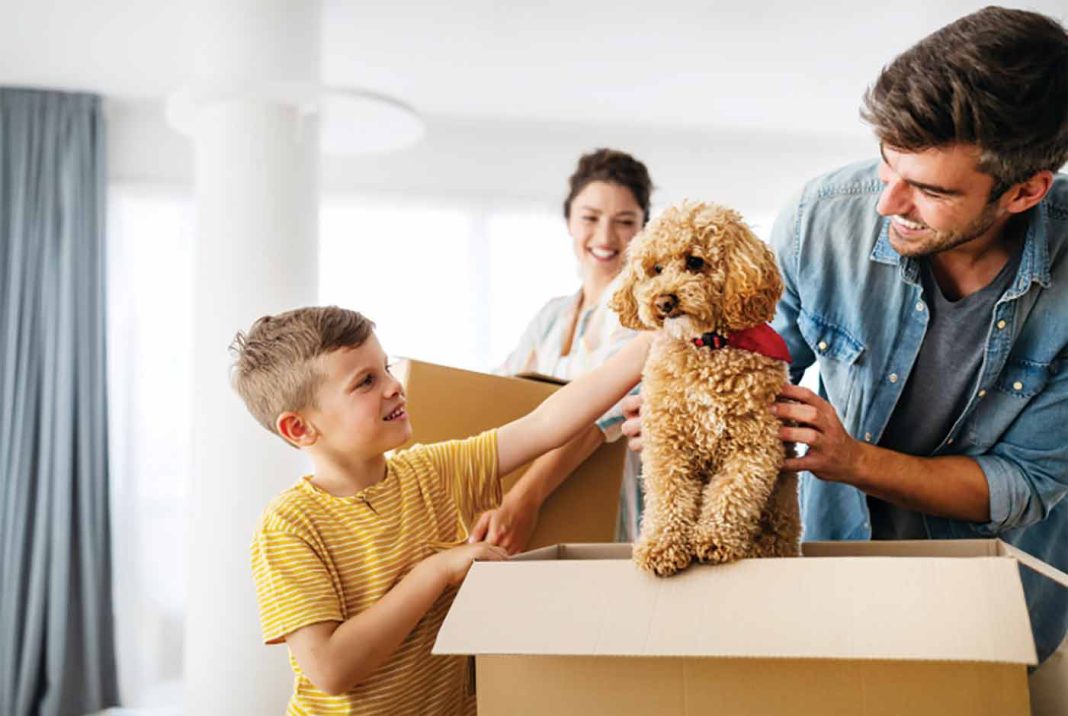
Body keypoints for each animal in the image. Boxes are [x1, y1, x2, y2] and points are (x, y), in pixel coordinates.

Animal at [615, 200, 798, 577]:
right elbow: (668, 496)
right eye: (655, 269)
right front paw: (662, 546)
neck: (708, 346)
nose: (663, 301)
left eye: (695, 261)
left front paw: (714, 539)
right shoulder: (667, 444)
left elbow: (732, 493)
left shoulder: (754, 445)